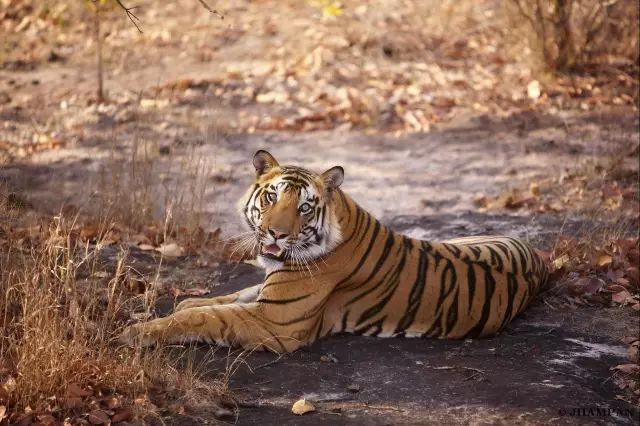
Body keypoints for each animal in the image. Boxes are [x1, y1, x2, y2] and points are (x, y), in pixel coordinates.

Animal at [121, 151, 552, 352]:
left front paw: (140, 332)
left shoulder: (276, 321)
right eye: (272, 197)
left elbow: (208, 318)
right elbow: (227, 297)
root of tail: (539, 258)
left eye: (304, 208)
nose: (275, 234)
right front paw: (188, 301)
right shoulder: (269, 292)